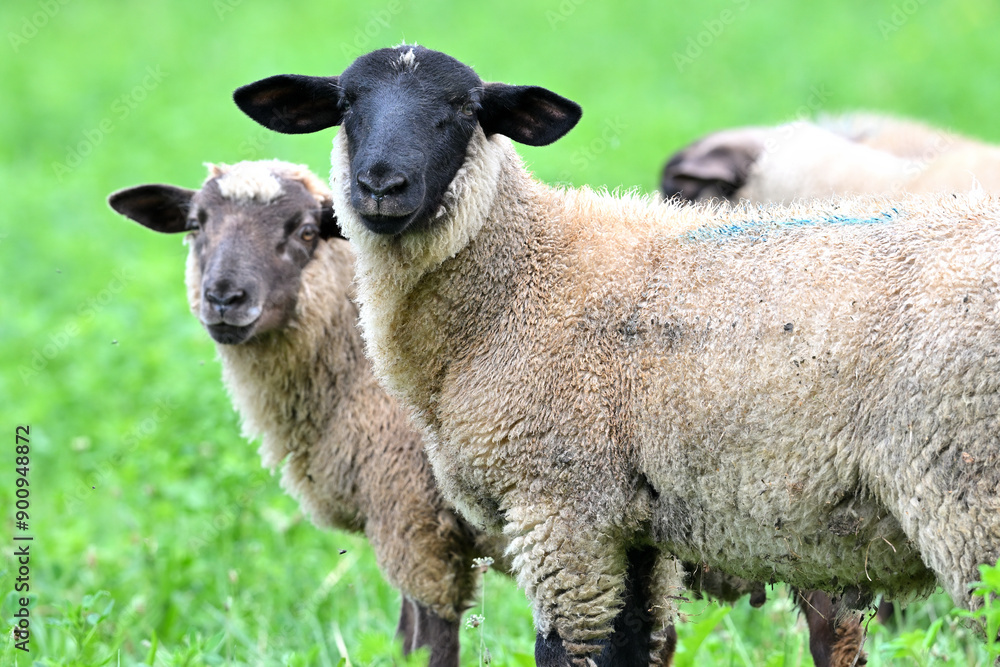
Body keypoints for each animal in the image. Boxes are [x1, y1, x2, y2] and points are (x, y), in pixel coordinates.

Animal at [106, 160, 512, 667]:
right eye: (196, 224)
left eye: (304, 232)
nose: (224, 298)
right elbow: (404, 639)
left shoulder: (413, 517)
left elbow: (427, 644)